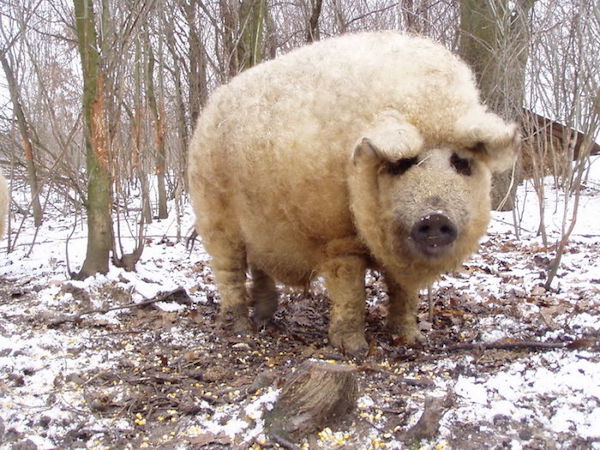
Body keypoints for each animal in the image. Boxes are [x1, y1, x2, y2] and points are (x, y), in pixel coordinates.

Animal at [189, 31, 520, 356]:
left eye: (461, 163)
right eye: (402, 164)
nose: (435, 216)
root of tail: (209, 108)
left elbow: (404, 292)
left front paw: (411, 339)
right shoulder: (337, 237)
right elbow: (352, 291)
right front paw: (355, 350)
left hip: (259, 228)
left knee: (259, 268)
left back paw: (265, 320)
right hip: (215, 217)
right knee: (228, 271)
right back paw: (240, 329)